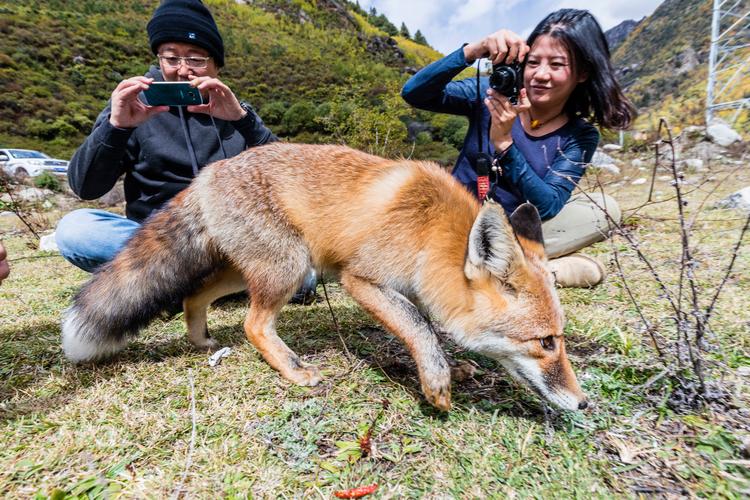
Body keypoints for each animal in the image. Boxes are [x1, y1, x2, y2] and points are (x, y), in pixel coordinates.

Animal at [61, 142, 588, 410]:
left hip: (257, 268)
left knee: (198, 295)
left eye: (560, 339)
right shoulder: (361, 280)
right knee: (254, 324)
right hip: (292, 268)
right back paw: (293, 369)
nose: (583, 404)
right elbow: (418, 327)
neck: (430, 234)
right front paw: (437, 381)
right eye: (545, 343)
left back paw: (201, 339)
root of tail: (206, 174)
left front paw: (450, 366)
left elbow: (428, 328)